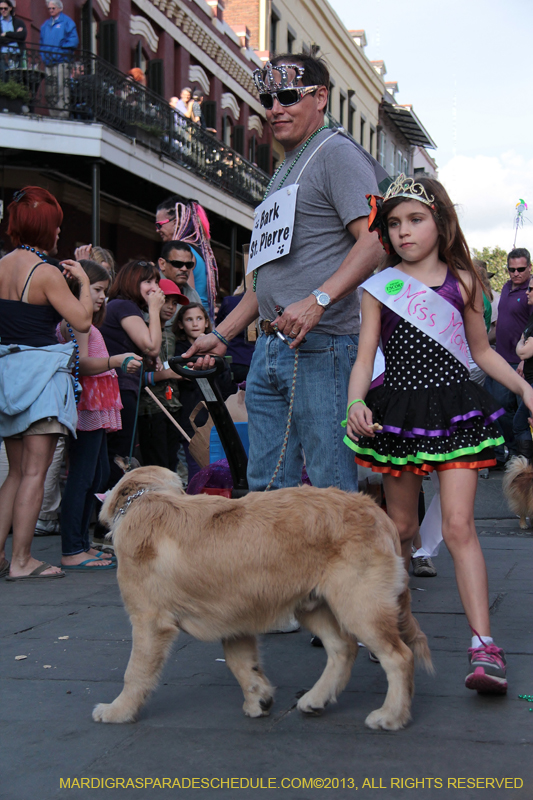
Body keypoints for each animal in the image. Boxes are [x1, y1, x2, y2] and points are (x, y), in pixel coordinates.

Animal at [92, 462, 432, 732]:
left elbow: (134, 672)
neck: (143, 499)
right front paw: (259, 698)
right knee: (343, 648)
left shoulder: (149, 621)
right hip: (314, 604)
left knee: (399, 656)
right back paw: (315, 699)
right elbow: (242, 663)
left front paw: (118, 710)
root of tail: (376, 510)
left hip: (359, 605)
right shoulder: (233, 617)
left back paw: (391, 715)